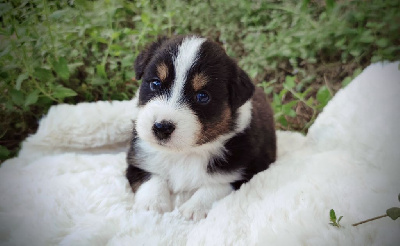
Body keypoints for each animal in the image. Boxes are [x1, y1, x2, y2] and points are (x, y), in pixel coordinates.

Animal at [126, 35, 276, 221]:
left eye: (202, 96)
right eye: (155, 83)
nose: (161, 128)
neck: (184, 154)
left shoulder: (250, 170)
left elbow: (218, 186)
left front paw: (193, 209)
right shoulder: (136, 160)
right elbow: (151, 177)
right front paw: (152, 204)